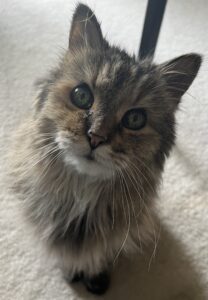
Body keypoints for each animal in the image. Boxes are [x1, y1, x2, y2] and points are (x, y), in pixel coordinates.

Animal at [8, 1, 202, 292]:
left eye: (135, 119)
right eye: (81, 96)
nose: (96, 137)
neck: (81, 199)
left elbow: (100, 256)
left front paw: (96, 279)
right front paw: (71, 273)